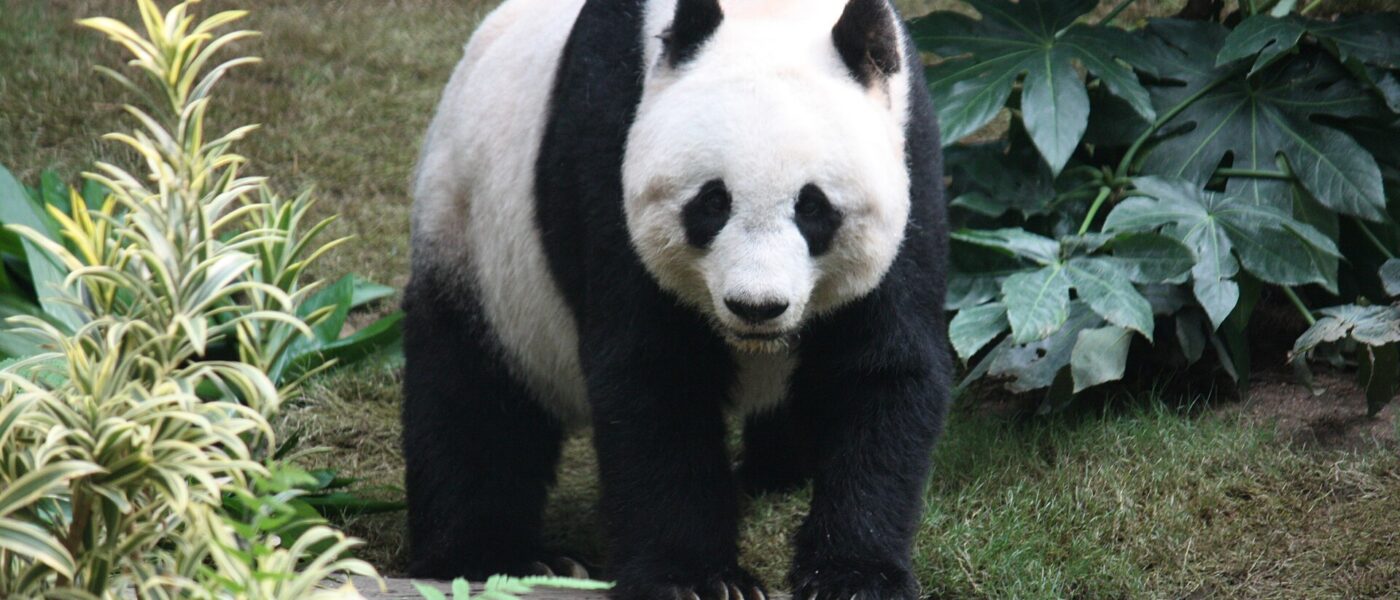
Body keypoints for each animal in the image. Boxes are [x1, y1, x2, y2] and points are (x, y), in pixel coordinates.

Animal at [401, 0, 949, 598]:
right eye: (713, 202)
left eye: (813, 207)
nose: (757, 306)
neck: (772, 16)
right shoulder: (609, 146)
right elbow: (656, 376)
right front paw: (696, 579)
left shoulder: (911, 158)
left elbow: (878, 369)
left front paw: (852, 575)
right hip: (476, 240)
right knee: (473, 397)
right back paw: (495, 555)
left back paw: (775, 472)